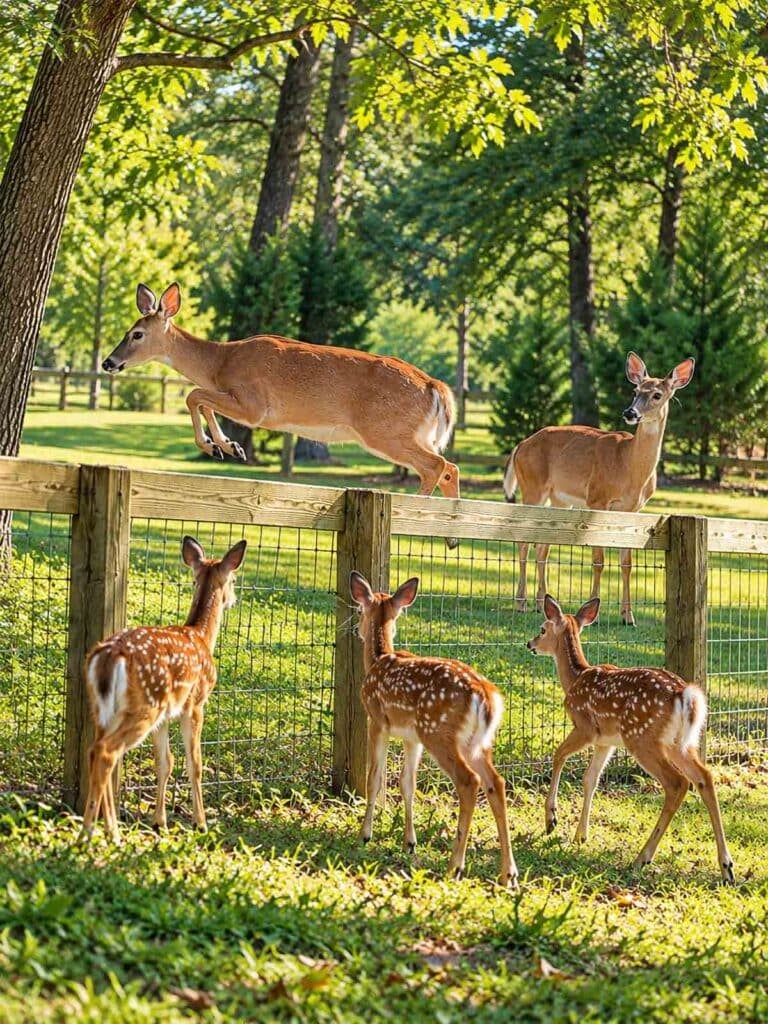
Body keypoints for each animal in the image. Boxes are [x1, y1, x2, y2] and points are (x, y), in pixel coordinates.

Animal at [79, 535, 247, 843]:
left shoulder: (166, 716)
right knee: (107, 752)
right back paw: (94, 833)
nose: (233, 599)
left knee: (95, 750)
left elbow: (165, 762)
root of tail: (107, 657)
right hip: (145, 706)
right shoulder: (195, 703)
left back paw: (107, 829)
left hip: (103, 709)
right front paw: (200, 823)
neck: (202, 636)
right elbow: (195, 763)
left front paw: (160, 822)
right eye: (232, 579)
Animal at [103, 283, 459, 502]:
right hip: (415, 433)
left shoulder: (255, 406)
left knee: (436, 465)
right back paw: (452, 537)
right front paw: (228, 446)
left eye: (136, 334)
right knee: (450, 467)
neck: (221, 361)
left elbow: (194, 395)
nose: (109, 362)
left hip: (385, 430)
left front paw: (215, 445)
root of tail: (436, 387)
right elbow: (201, 399)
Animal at [349, 571, 518, 887]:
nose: (357, 629)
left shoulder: (377, 721)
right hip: (474, 742)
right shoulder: (411, 737)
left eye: (360, 610)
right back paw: (508, 873)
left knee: (469, 781)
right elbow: (407, 783)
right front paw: (409, 842)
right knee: (496, 782)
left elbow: (374, 779)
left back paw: (455, 866)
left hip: (438, 733)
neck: (378, 659)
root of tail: (485, 696)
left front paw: (365, 834)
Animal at [503, 352, 695, 625]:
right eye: (635, 390)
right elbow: (598, 560)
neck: (628, 466)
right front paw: (594, 611)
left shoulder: (632, 510)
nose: (630, 412)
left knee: (543, 546)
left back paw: (541, 603)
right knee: (523, 540)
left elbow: (627, 563)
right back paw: (521, 602)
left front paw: (628, 616)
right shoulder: (597, 499)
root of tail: (520, 445)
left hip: (559, 499)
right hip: (532, 487)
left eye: (657, 394)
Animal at [527, 594, 735, 885]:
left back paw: (642, 858)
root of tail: (687, 696)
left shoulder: (585, 727)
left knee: (677, 783)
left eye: (543, 629)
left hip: (641, 738)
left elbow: (558, 755)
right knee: (705, 777)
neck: (575, 679)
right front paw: (580, 835)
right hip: (681, 744)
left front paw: (551, 819)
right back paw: (726, 867)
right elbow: (590, 779)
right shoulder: (605, 742)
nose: (530, 644)